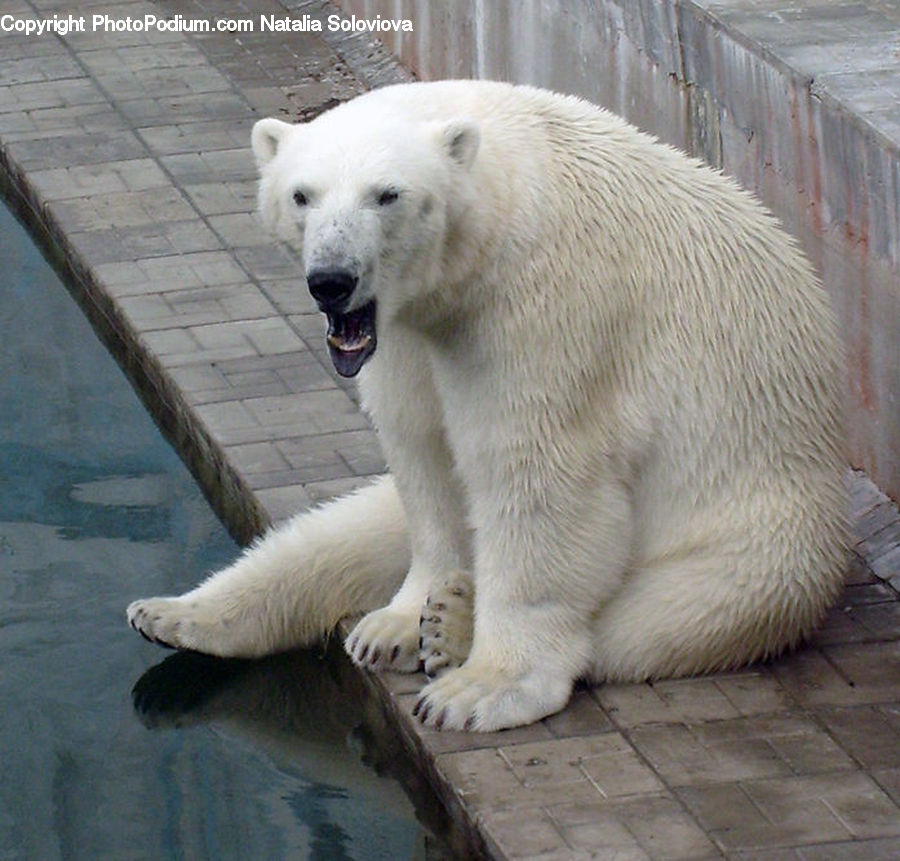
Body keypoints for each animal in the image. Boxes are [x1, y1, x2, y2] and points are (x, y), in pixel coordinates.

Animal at [127, 80, 849, 732]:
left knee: (659, 614)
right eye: (301, 194)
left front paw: (478, 688)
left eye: (387, 194)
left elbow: (538, 475)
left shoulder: (543, 307)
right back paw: (176, 614)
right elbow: (424, 453)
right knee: (334, 533)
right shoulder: (410, 330)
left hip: (760, 532)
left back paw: (458, 626)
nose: (332, 280)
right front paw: (395, 624)